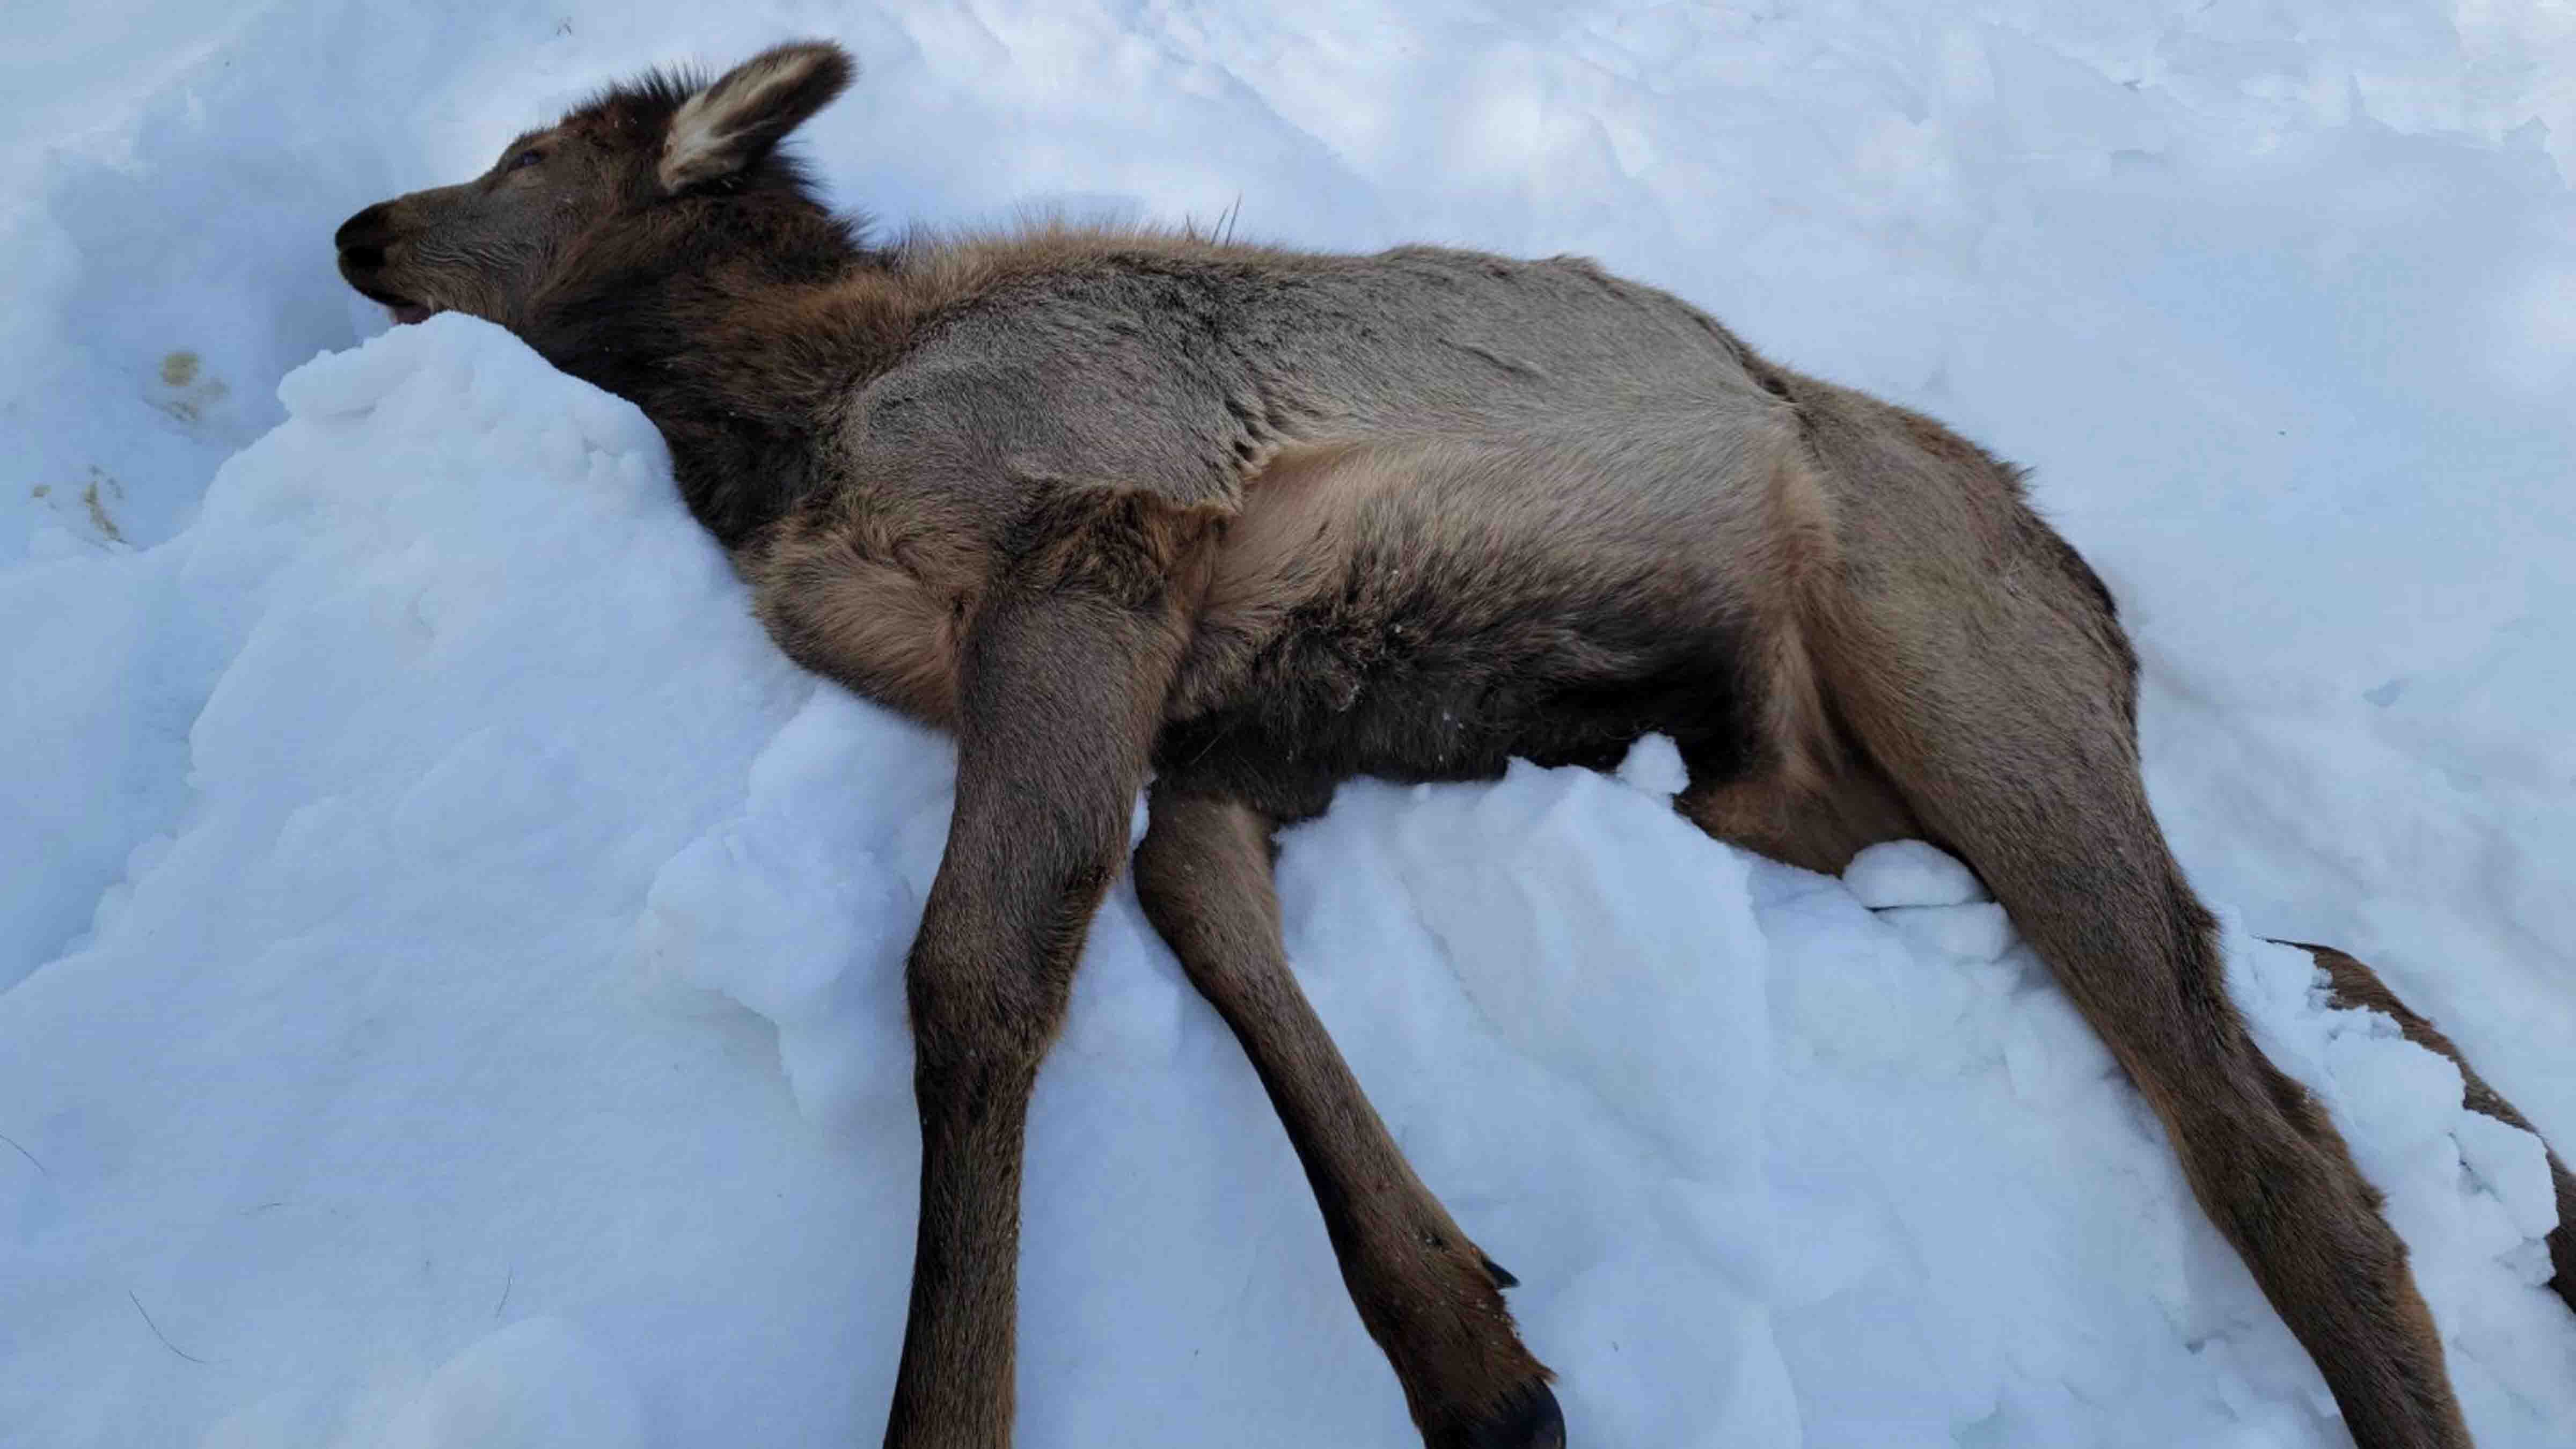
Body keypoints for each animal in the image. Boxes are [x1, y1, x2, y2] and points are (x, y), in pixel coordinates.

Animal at [332, 40, 2573, 1449]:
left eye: (526, 164)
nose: (359, 227)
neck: (779, 426)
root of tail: (2083, 579)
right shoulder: (1249, 711)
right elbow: (1188, 898)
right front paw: (1471, 1349)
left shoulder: (1108, 505)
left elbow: (980, 973)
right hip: (1820, 791)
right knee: (2281, 961)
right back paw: (2528, 1185)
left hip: (1949, 653)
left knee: (2263, 1124)